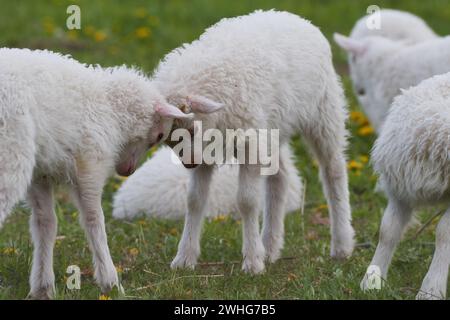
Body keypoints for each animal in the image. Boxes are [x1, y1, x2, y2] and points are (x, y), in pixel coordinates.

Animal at [0, 48, 188, 300]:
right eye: (158, 136)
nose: (127, 171)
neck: (109, 107)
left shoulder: (41, 173)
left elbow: (45, 224)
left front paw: (43, 287)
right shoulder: (89, 163)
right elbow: (94, 220)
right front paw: (111, 282)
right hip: (11, 152)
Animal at [151, 11, 356, 274]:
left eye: (191, 127)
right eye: (166, 138)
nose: (189, 163)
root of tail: (295, 17)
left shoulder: (247, 145)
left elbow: (247, 201)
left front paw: (252, 262)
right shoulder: (211, 150)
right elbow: (195, 200)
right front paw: (184, 258)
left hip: (323, 111)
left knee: (333, 171)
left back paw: (341, 244)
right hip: (273, 127)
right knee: (280, 178)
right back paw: (270, 245)